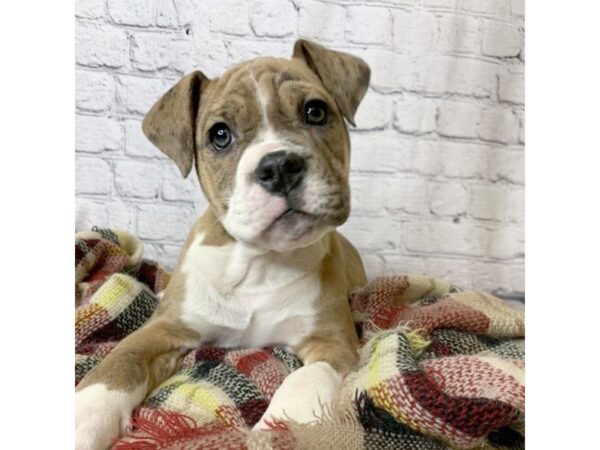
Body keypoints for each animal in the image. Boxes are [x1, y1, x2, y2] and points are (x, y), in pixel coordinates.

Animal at [75, 39, 370, 450]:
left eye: (315, 111)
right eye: (219, 134)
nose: (279, 166)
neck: (260, 261)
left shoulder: (334, 341)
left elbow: (305, 381)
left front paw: (281, 432)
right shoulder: (164, 329)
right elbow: (118, 362)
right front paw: (81, 417)